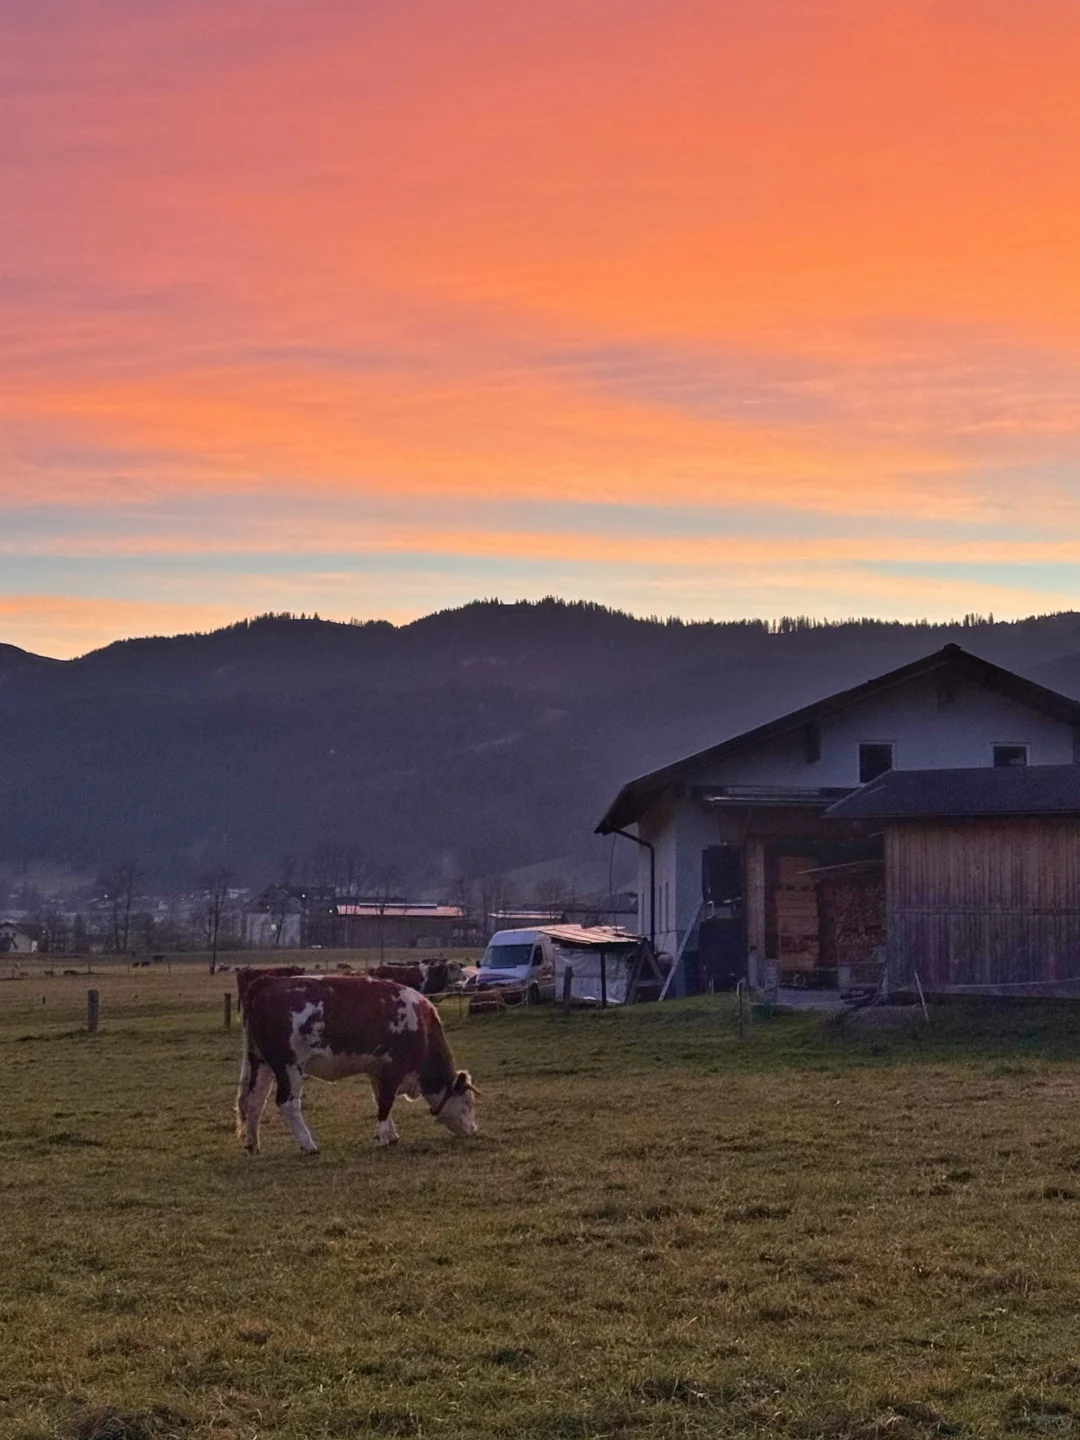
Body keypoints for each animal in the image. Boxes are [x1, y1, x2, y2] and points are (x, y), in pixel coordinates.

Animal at [236, 973, 478, 1152]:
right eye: (468, 1103)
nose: (473, 1130)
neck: (422, 1025)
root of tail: (269, 981)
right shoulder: (394, 1067)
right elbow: (386, 1102)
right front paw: (382, 1137)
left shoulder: (376, 1070)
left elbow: (380, 1099)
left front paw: (390, 1134)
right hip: (289, 1067)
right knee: (287, 1103)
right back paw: (308, 1144)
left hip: (261, 1063)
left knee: (255, 1101)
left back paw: (253, 1144)